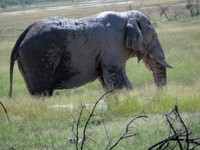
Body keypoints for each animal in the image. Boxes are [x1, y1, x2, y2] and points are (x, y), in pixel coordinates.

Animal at [8, 10, 173, 97]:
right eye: (153, 37)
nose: (158, 94)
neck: (126, 16)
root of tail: (23, 35)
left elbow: (105, 81)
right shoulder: (112, 47)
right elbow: (116, 78)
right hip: (36, 59)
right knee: (42, 93)